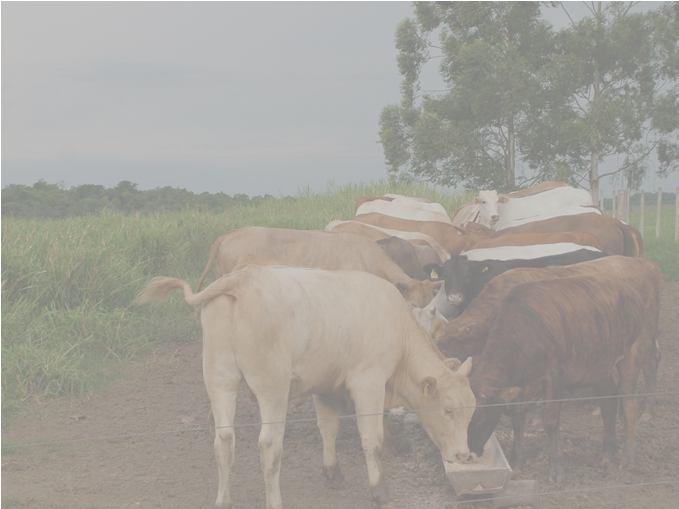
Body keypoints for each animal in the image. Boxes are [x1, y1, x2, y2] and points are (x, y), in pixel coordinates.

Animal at [136, 266, 476, 508]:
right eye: (448, 410)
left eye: (471, 410)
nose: (463, 456)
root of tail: (243, 277)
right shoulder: (368, 382)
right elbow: (372, 439)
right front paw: (379, 490)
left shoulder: (326, 387)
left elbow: (328, 429)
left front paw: (332, 472)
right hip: (272, 388)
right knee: (268, 444)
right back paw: (274, 501)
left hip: (219, 379)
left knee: (224, 439)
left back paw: (223, 500)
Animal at [468, 258, 660, 480]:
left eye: (482, 413)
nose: (470, 449)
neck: (527, 329)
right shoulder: (525, 386)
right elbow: (518, 418)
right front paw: (517, 462)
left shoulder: (555, 379)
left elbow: (550, 422)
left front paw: (556, 469)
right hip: (601, 366)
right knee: (608, 404)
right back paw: (606, 455)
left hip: (633, 355)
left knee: (629, 405)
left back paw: (628, 458)